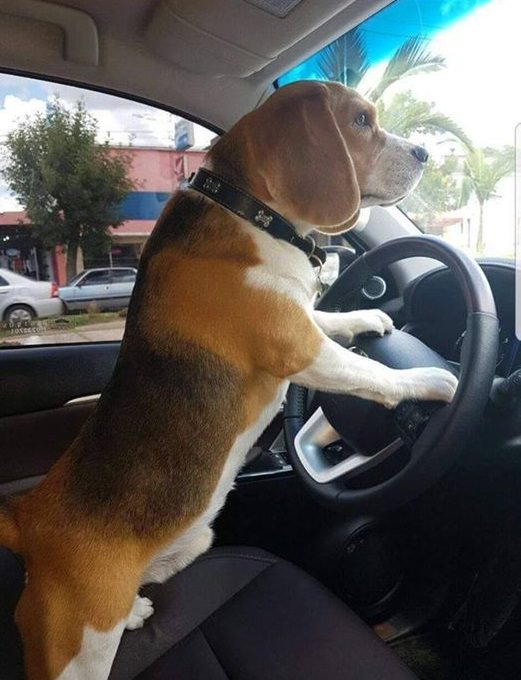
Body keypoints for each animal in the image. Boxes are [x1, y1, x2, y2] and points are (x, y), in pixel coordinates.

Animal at [0, 81, 456, 680]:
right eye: (361, 121)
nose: (425, 153)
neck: (249, 212)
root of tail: (28, 518)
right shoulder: (299, 347)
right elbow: (373, 372)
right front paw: (429, 377)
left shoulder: (302, 321)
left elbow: (328, 318)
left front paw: (368, 318)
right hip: (79, 649)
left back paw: (136, 609)